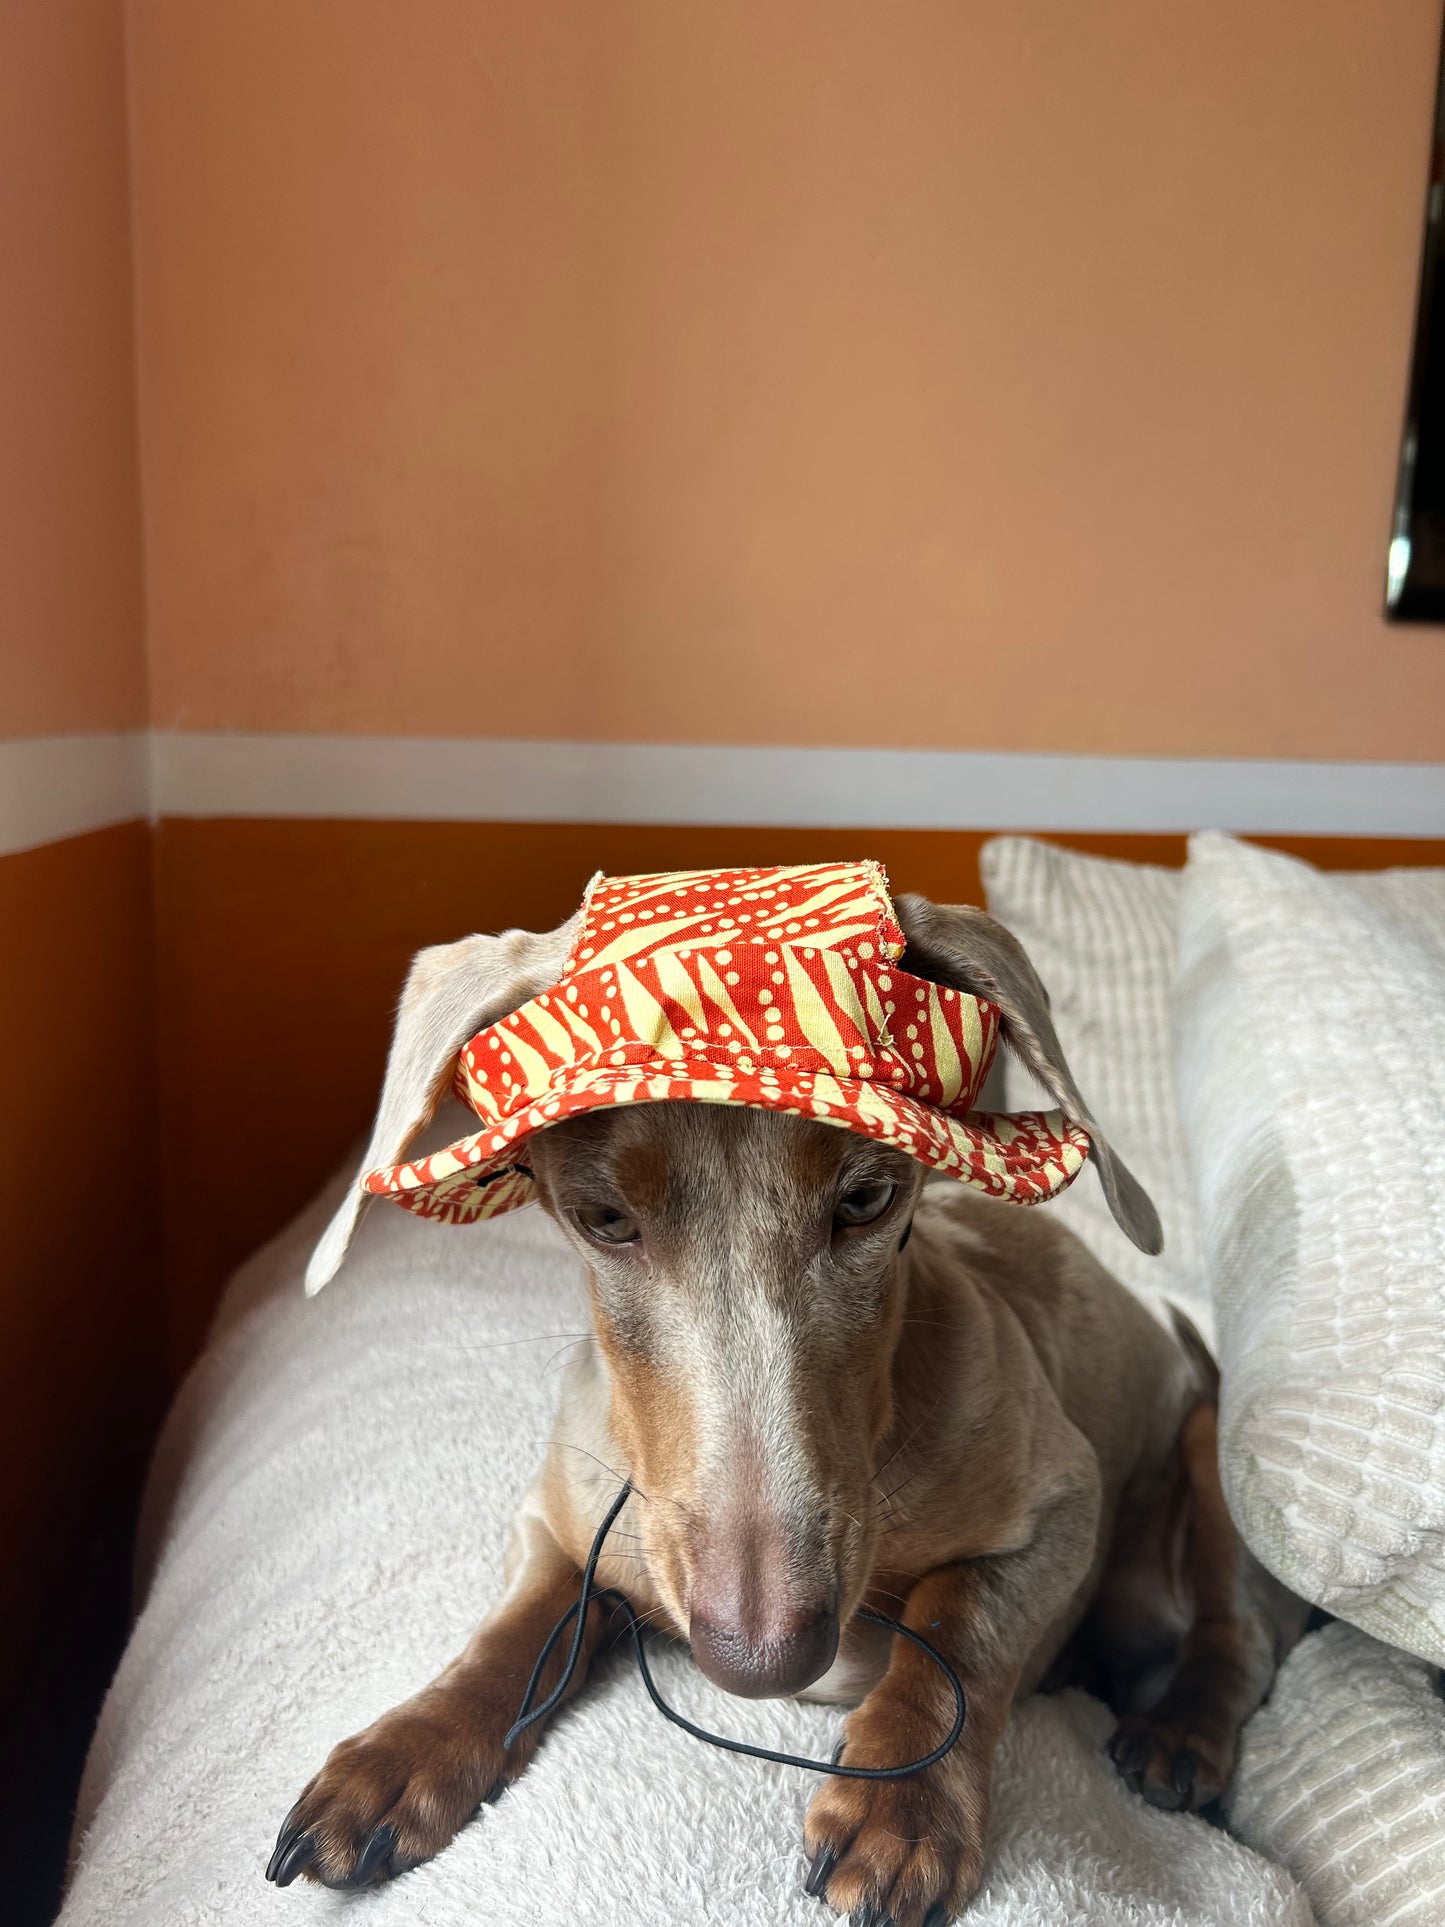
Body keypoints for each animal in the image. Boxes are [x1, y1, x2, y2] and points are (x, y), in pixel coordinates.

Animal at [265, 894, 1310, 1919]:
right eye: (603, 1218)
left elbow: (957, 1625)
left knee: (1239, 1637)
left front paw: (902, 1803)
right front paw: (403, 1753)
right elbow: (518, 1627)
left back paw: (1176, 1733)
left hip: (1211, 1454)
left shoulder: (1060, 1502)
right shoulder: (554, 1517)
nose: (760, 1660)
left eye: (868, 1198)